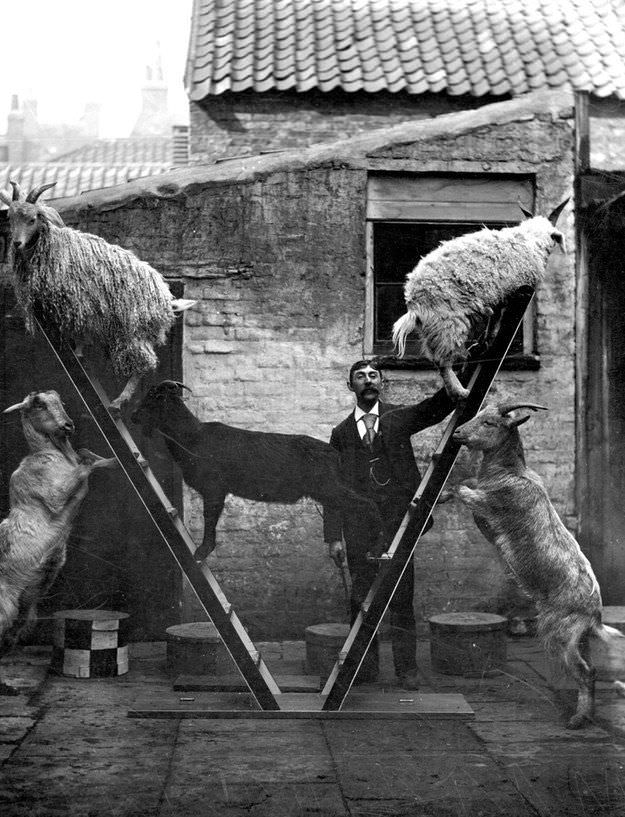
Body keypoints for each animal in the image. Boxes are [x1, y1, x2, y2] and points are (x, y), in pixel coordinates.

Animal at [130, 380, 386, 560]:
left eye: (152, 396)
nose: (133, 416)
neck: (192, 437)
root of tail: (334, 452)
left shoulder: (214, 489)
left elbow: (209, 519)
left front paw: (202, 551)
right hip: (329, 492)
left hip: (330, 488)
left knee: (369, 505)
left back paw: (377, 548)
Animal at [392, 198, 568, 402]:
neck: (531, 239)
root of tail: (414, 303)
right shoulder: (515, 290)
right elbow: (499, 317)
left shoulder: (499, 295)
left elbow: (495, 318)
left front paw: (487, 340)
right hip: (447, 322)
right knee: (442, 361)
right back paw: (459, 392)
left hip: (431, 327)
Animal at [450, 402, 620, 728]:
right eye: (479, 414)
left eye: (490, 422)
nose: (457, 433)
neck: (510, 474)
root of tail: (595, 613)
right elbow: (465, 483)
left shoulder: (487, 503)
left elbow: (460, 488)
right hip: (577, 637)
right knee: (590, 667)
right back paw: (586, 714)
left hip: (560, 632)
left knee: (585, 672)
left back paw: (577, 719)